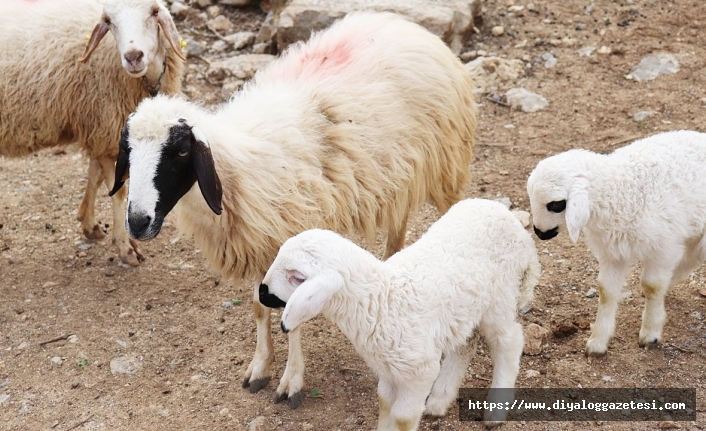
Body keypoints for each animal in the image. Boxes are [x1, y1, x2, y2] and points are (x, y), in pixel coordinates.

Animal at [0, 0, 184, 266]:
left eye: (154, 12)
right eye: (108, 21)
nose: (133, 57)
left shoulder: (98, 128)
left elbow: (94, 175)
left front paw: (88, 223)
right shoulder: (105, 126)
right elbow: (118, 192)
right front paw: (125, 247)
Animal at [107, 11, 476, 408]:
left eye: (179, 151)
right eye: (127, 149)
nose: (138, 222)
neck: (235, 170)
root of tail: (404, 24)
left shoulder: (289, 240)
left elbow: (291, 314)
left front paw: (291, 381)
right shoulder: (258, 242)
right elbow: (258, 306)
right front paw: (259, 367)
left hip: (446, 167)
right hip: (400, 176)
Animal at [258, 200, 540, 431]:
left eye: (297, 277)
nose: (261, 293)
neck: (383, 299)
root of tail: (506, 215)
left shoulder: (419, 370)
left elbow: (403, 417)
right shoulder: (389, 370)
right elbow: (384, 403)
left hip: (500, 296)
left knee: (509, 341)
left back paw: (495, 412)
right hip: (466, 310)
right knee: (465, 345)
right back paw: (439, 400)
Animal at [524, 129, 704, 358]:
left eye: (556, 205)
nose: (539, 233)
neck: (620, 192)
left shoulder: (662, 248)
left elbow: (652, 286)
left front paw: (650, 333)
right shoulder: (613, 253)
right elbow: (606, 292)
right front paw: (598, 342)